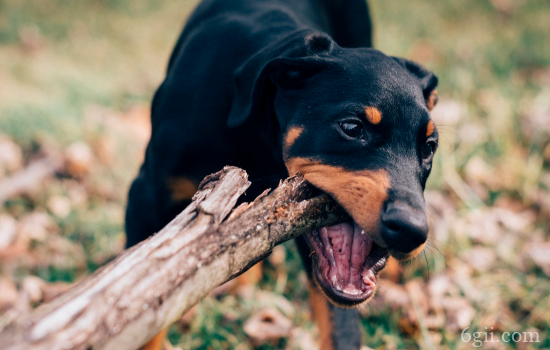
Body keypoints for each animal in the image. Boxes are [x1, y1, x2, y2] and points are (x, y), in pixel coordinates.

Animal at [125, 0, 440, 348]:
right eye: (351, 127)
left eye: (429, 147)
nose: (412, 231)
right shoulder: (144, 199)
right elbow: (146, 316)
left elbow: (340, 328)